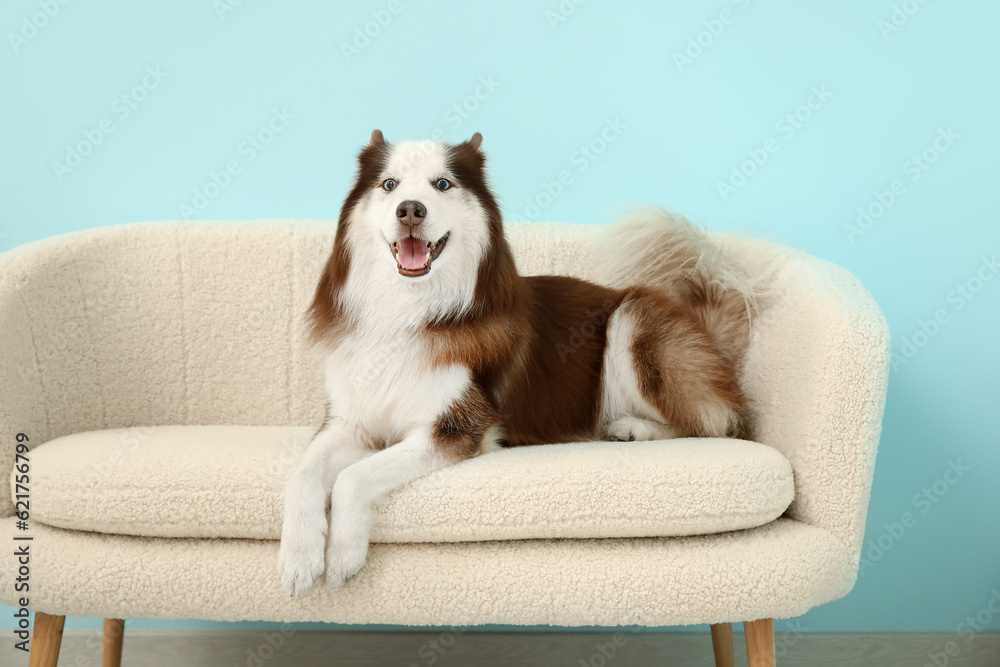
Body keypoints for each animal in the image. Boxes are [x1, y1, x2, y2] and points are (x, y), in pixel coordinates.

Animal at [276, 129, 756, 596]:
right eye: (389, 184)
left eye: (442, 184)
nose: (409, 209)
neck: (408, 308)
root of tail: (701, 324)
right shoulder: (349, 422)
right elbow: (302, 473)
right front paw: (299, 558)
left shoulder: (458, 427)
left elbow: (353, 477)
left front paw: (343, 553)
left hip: (633, 318)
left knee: (717, 422)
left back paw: (636, 429)